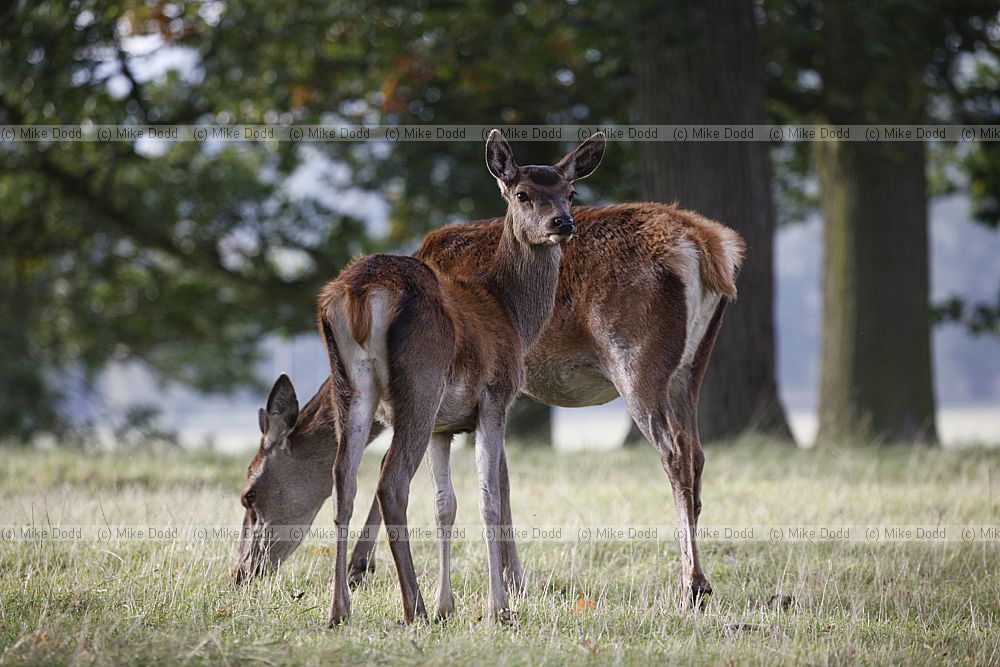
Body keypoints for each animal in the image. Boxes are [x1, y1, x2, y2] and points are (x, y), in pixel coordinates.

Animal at [233, 149, 744, 618]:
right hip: (690, 369)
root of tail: (710, 247)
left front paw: (367, 568)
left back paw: (691, 586)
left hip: (635, 359)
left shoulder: (478, 397)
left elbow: (475, 484)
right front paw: (513, 582)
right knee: (695, 452)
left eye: (249, 493)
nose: (241, 572)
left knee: (674, 453)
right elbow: (499, 481)